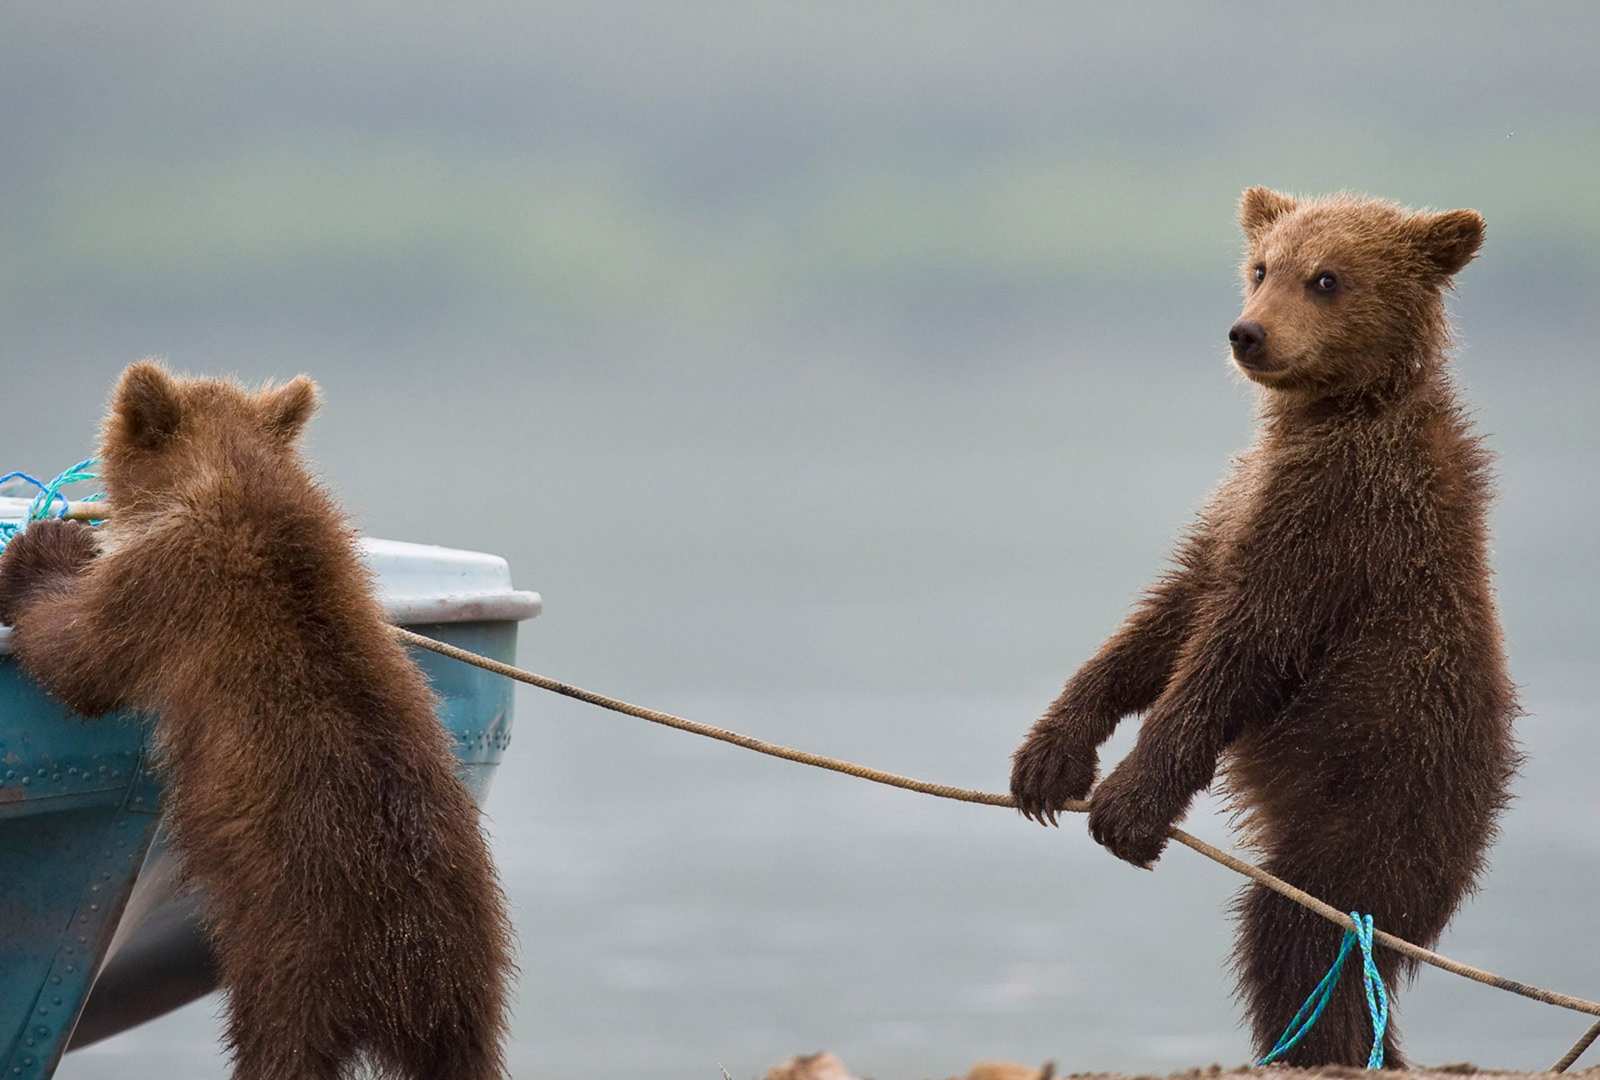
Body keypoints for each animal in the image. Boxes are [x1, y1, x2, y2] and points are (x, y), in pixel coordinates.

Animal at [0, 362, 514, 1080]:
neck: (232, 479)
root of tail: (406, 970)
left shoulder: (170, 581)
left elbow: (81, 654)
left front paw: (44, 549)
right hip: (466, 980)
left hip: (292, 950)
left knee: (278, 1045)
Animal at [1008, 189, 1519, 1067]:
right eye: (1260, 266)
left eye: (1327, 277)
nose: (1247, 333)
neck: (1338, 410)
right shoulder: (1243, 503)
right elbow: (1164, 619)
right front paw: (1050, 756)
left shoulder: (1340, 521)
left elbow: (1237, 652)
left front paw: (1128, 804)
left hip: (1380, 802)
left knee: (1302, 936)